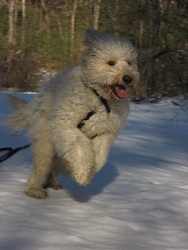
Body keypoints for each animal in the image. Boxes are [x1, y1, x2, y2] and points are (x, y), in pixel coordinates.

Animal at [6, 29, 140, 198]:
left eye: (129, 63)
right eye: (111, 63)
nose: (128, 78)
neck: (99, 98)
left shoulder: (106, 130)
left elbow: (101, 150)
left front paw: (94, 165)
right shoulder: (66, 124)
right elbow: (80, 146)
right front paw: (83, 174)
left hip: (61, 152)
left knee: (57, 165)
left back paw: (52, 182)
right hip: (47, 140)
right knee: (42, 165)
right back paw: (34, 190)